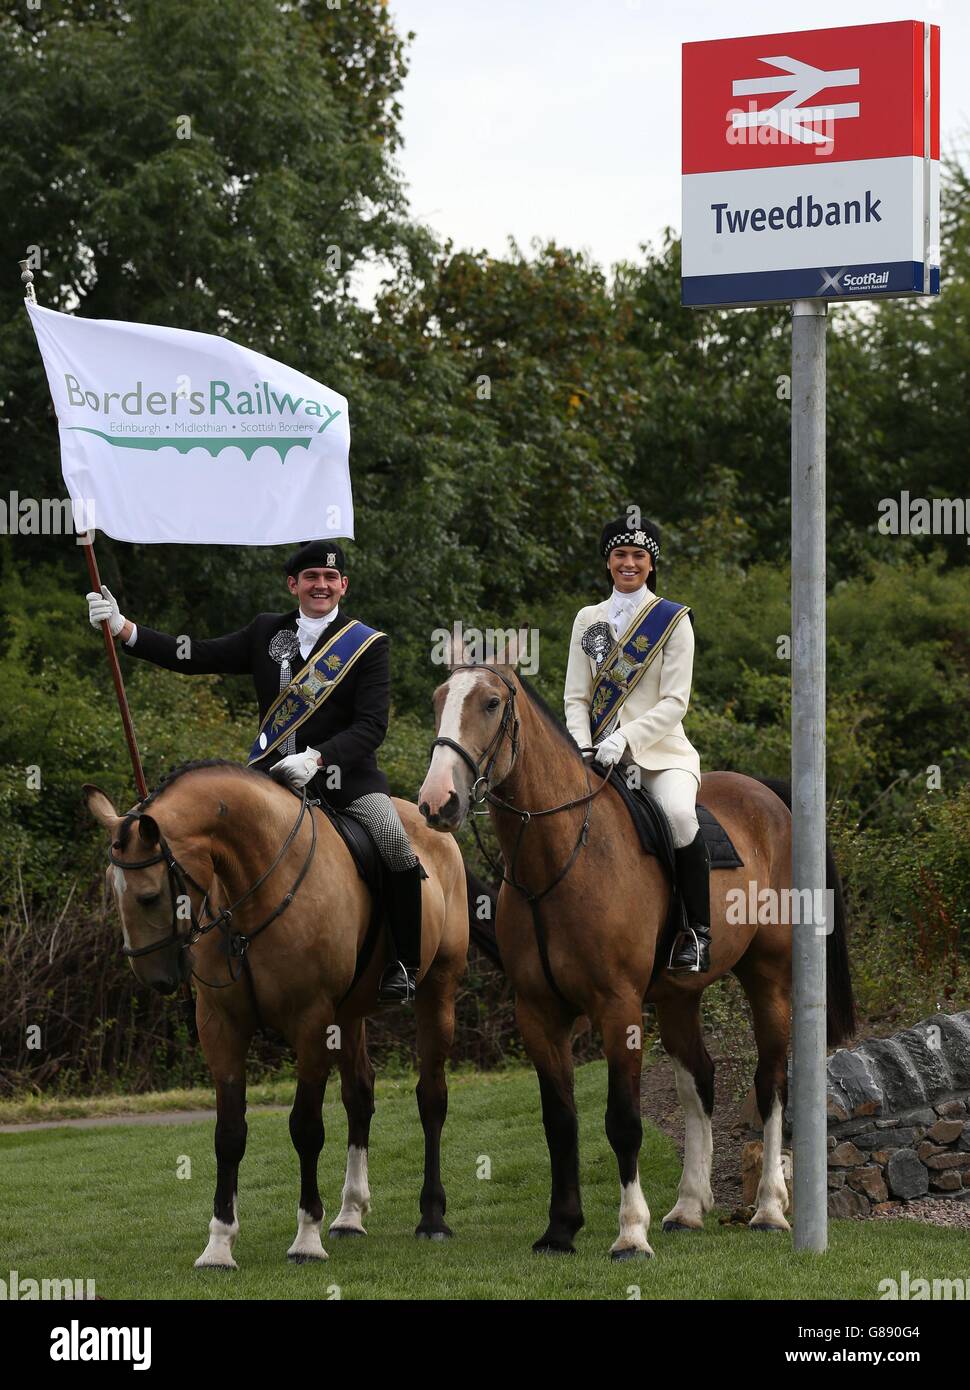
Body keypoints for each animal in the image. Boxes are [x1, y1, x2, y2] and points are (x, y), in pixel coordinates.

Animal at [83, 761, 469, 1273]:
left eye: (148, 896)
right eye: (114, 890)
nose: (156, 977)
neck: (253, 890)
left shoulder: (310, 1023)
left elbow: (306, 1128)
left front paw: (306, 1238)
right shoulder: (221, 1027)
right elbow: (228, 1133)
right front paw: (219, 1244)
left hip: (436, 993)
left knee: (431, 1098)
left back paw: (432, 1216)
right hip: (348, 1016)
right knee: (359, 1096)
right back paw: (350, 1214)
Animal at [411, 661, 850, 1262]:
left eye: (491, 704)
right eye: (437, 701)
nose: (438, 802)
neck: (561, 854)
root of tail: (769, 796)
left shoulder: (617, 1008)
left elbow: (623, 1121)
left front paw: (630, 1234)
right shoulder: (539, 1013)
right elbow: (559, 1121)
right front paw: (560, 1229)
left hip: (769, 978)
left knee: (770, 1082)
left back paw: (768, 1209)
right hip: (678, 996)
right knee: (700, 1079)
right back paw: (688, 1208)